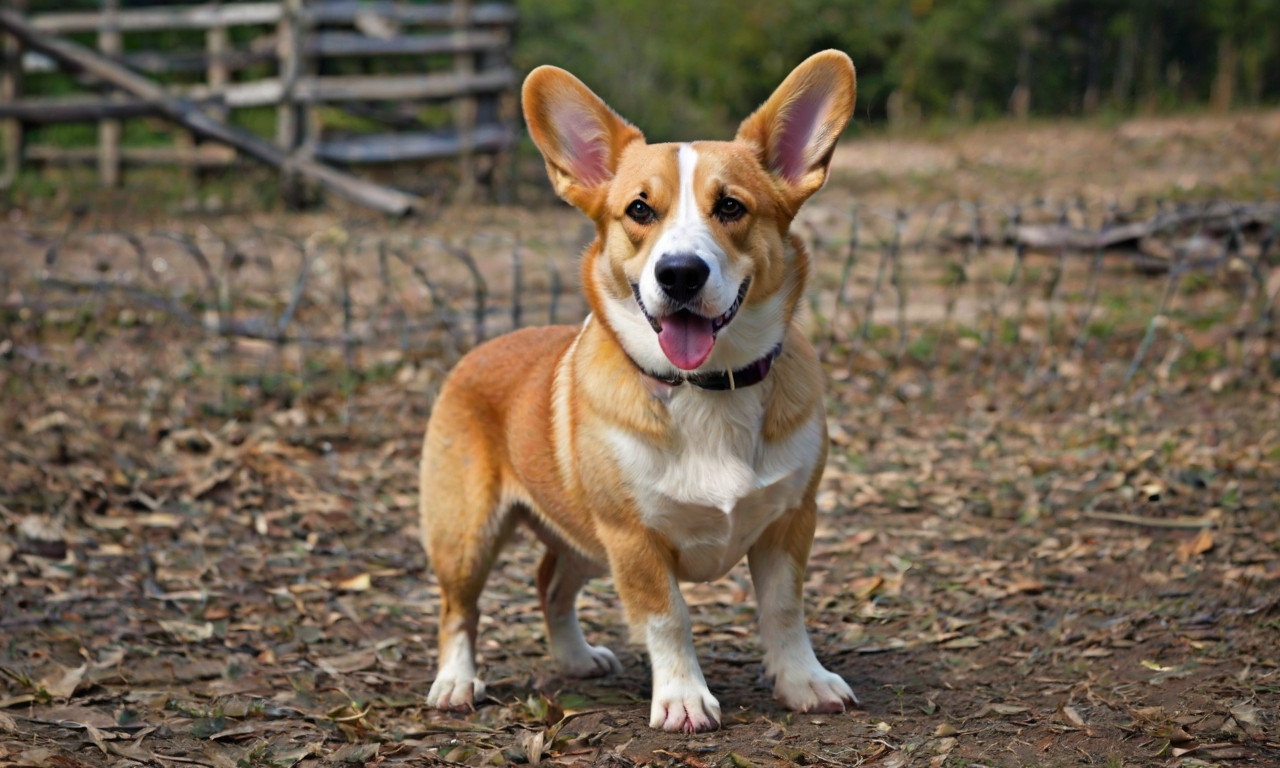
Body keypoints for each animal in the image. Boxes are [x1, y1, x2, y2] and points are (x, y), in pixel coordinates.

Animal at [420, 50, 857, 733]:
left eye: (731, 207)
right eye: (639, 211)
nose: (679, 274)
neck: (707, 388)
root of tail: (480, 349)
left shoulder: (790, 521)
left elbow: (785, 612)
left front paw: (802, 681)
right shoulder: (633, 540)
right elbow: (668, 619)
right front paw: (683, 698)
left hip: (583, 537)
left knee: (550, 583)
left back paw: (576, 660)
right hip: (468, 535)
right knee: (457, 609)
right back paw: (456, 682)